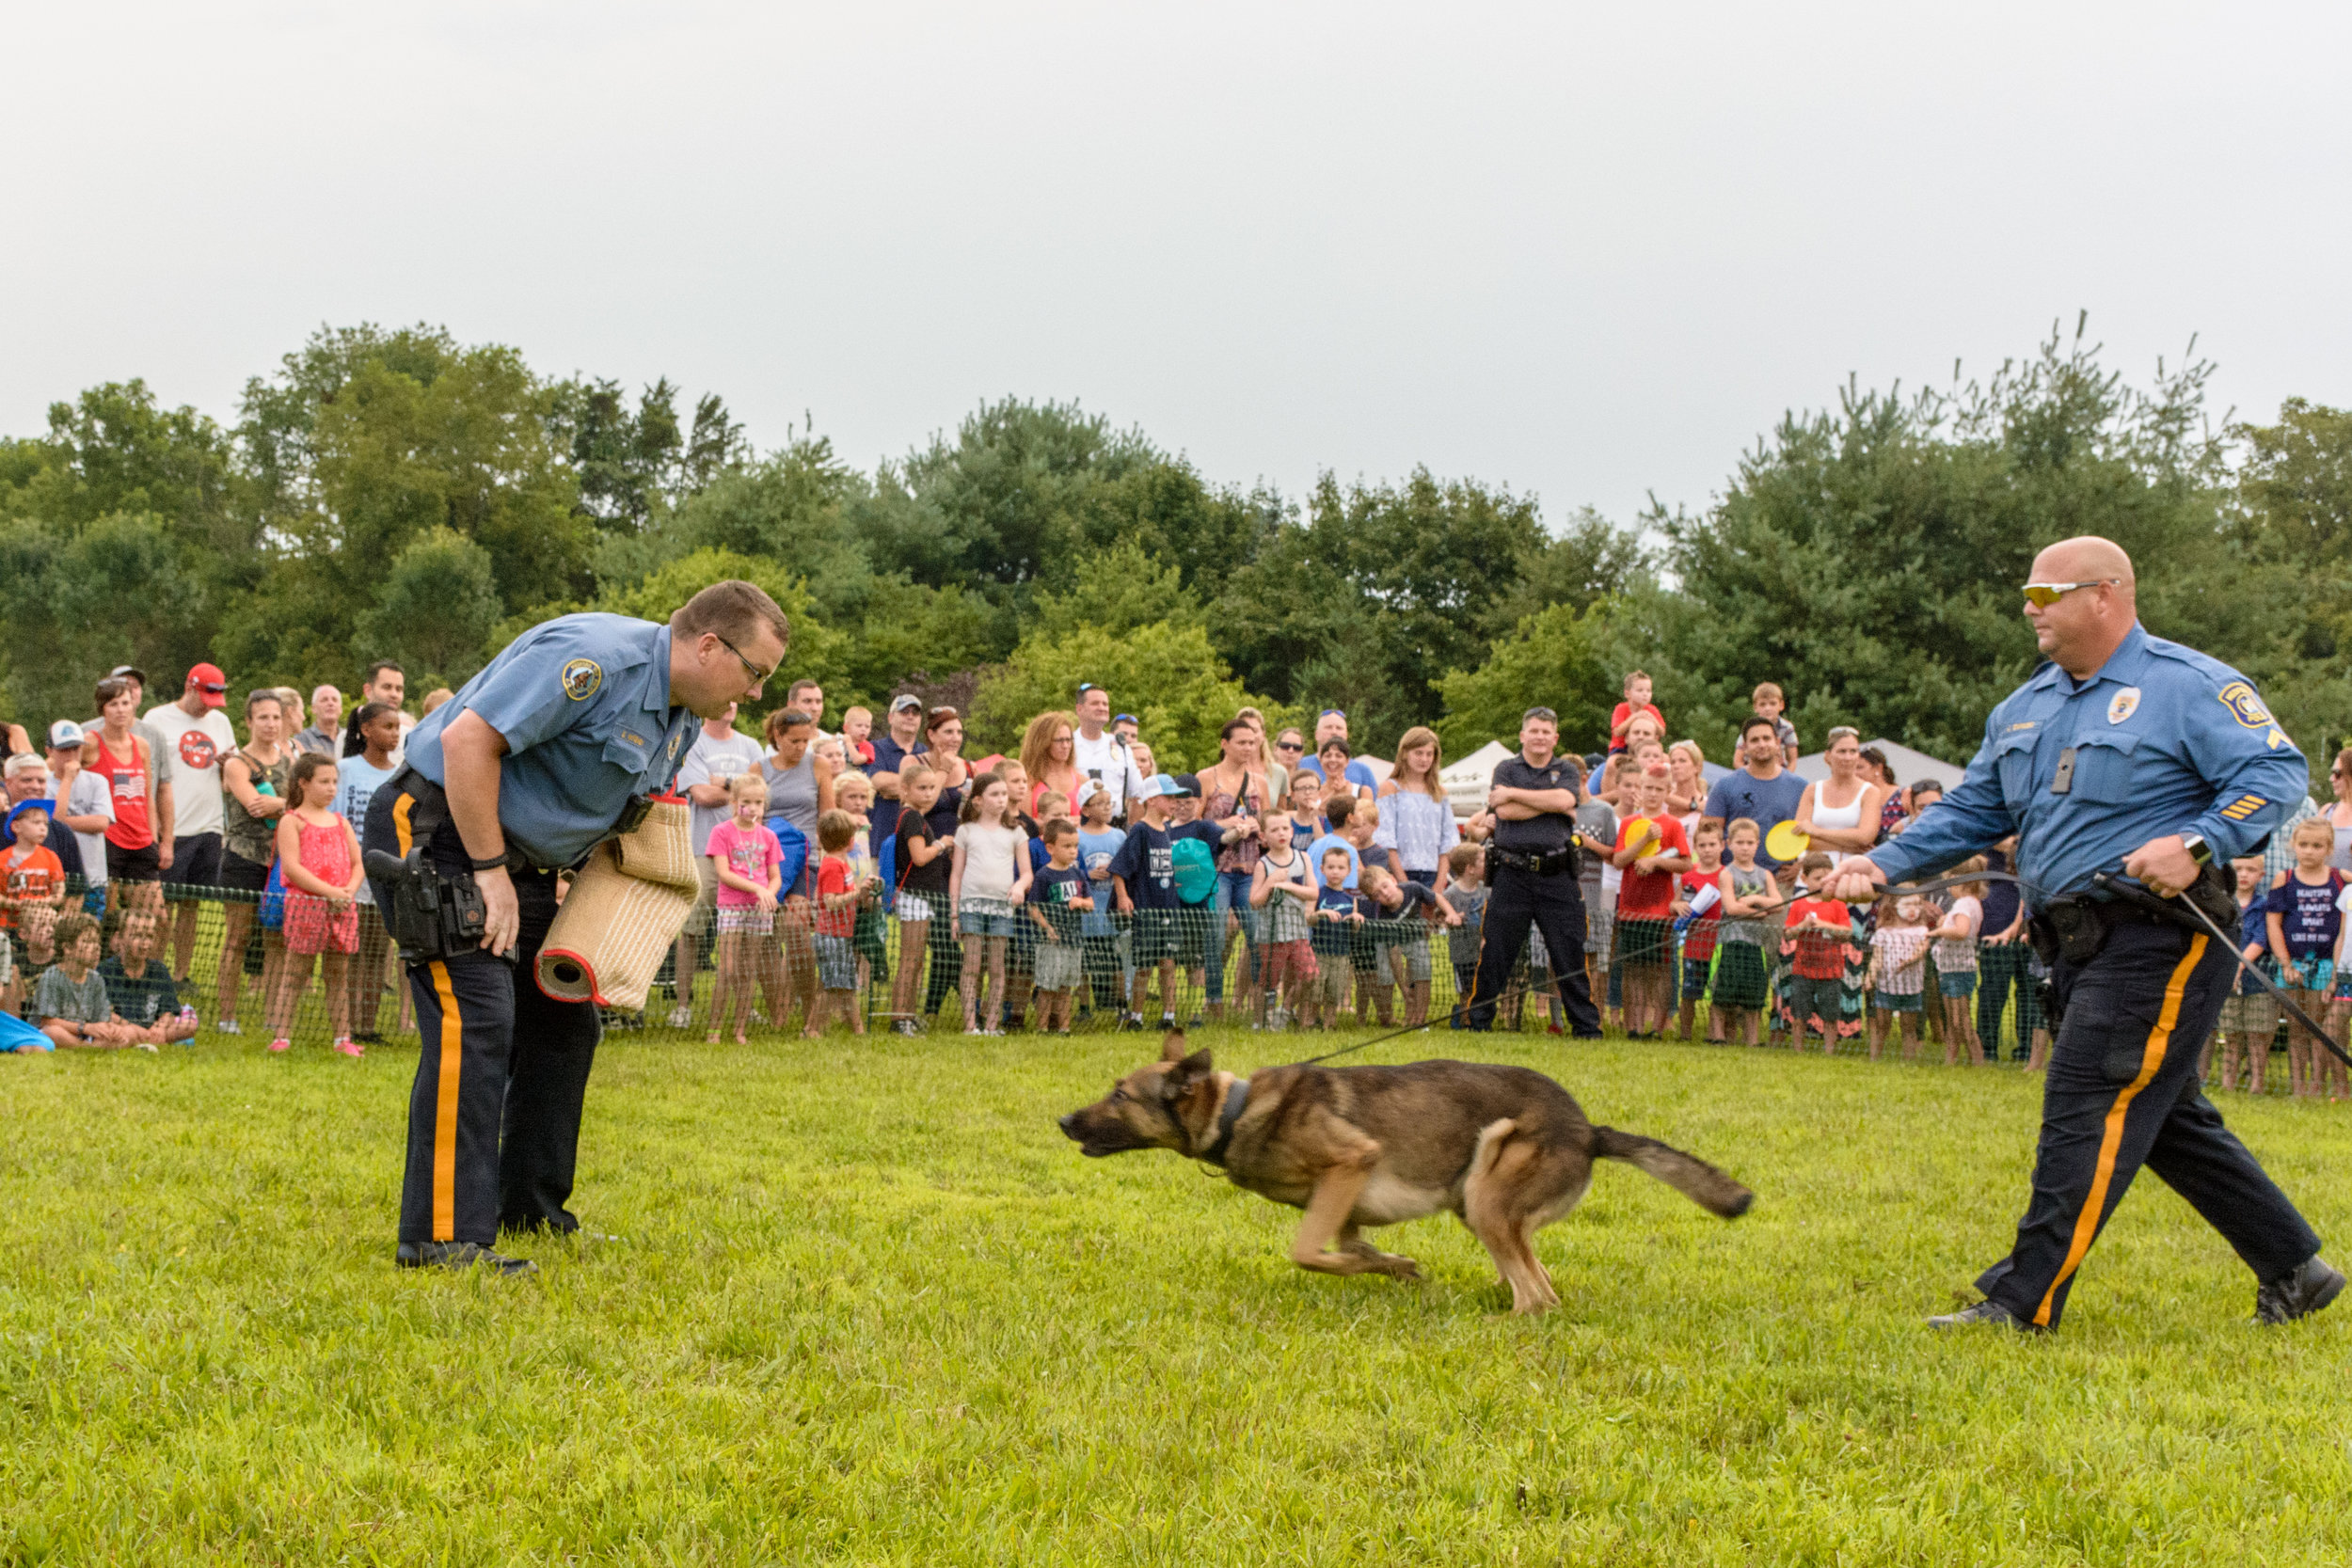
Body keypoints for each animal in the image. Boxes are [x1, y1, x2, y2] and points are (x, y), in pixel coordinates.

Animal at [1063, 1043, 1750, 1316]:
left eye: (1120, 1094)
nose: (1063, 1120)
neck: (1235, 1112)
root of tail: (1589, 1130)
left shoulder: (1352, 1162)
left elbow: (1308, 1252)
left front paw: (1390, 1267)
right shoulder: (1345, 1204)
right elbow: (1355, 1248)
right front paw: (1396, 1267)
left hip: (1488, 1191)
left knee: (1537, 1299)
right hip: (1478, 1204)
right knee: (1541, 1280)